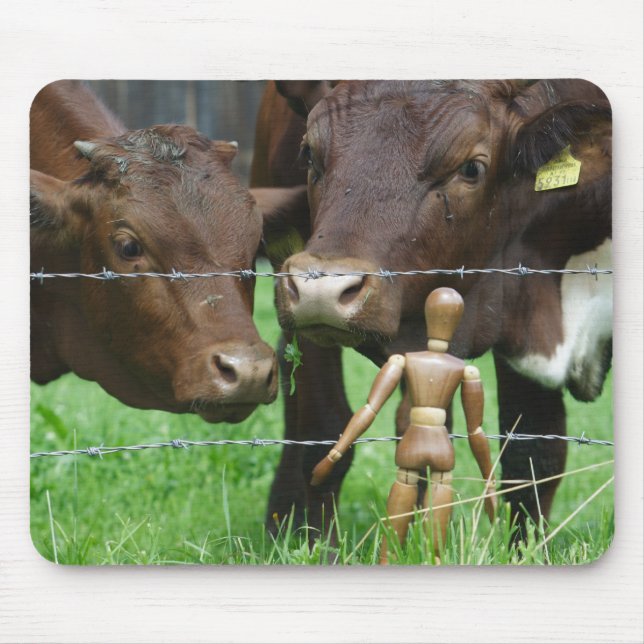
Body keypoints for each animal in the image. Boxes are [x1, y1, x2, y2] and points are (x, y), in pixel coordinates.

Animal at [252, 79, 612, 536]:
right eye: (309, 155)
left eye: (472, 168)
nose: (322, 289)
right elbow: (324, 431)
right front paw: (313, 543)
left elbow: (533, 452)